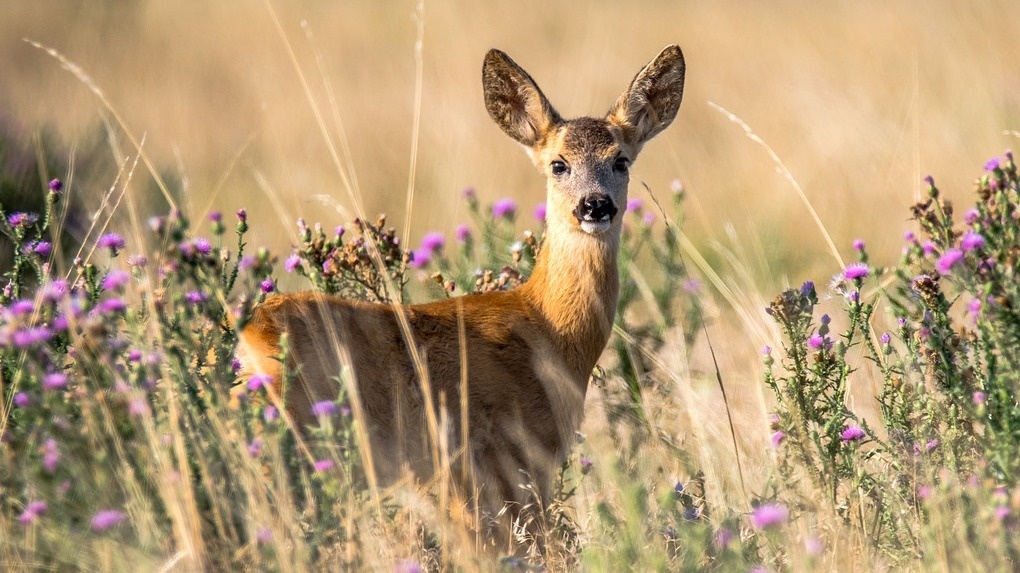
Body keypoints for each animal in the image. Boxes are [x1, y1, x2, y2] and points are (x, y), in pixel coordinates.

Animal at [238, 42, 685, 542]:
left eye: (621, 160)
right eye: (558, 164)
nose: (595, 205)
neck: (549, 330)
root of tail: (250, 336)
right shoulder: (504, 460)